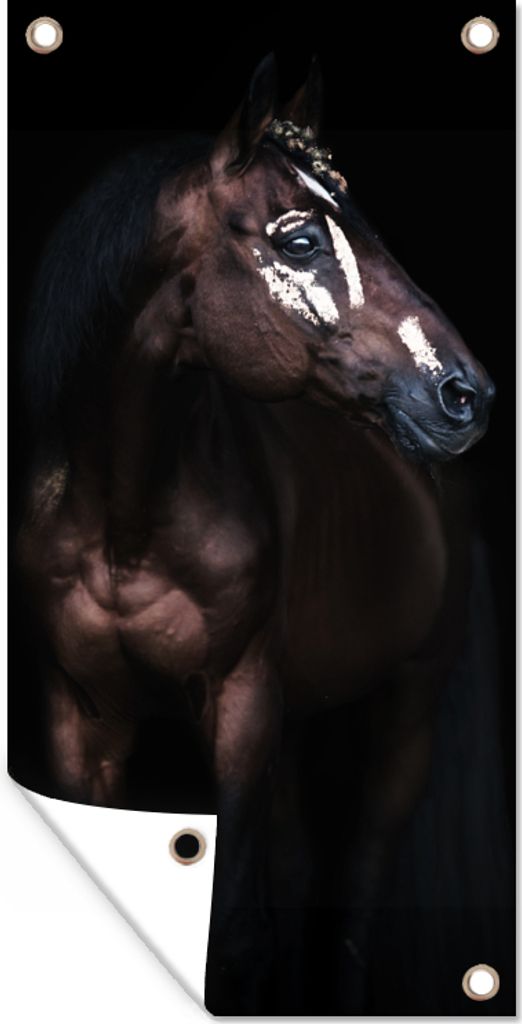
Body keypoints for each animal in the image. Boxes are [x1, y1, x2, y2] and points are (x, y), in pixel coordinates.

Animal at [13, 53, 496, 1013]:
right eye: (300, 241)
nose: (467, 394)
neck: (124, 525)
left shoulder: (240, 704)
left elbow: (234, 936)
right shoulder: (81, 718)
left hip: (407, 713)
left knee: (354, 899)